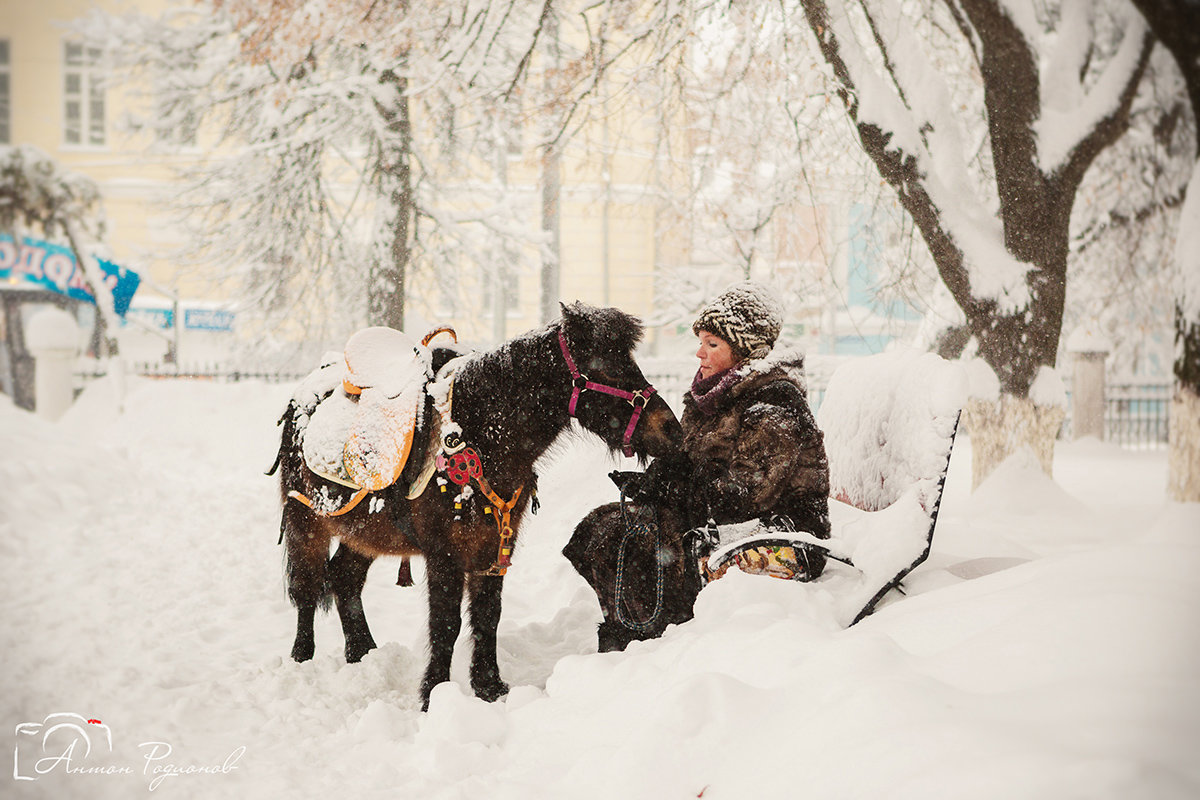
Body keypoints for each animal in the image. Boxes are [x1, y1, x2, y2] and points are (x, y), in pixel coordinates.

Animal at [274, 303, 681, 710]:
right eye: (606, 367)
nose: (671, 429)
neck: (479, 436)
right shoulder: (444, 554)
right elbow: (446, 624)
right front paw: (433, 694)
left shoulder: (495, 545)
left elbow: (488, 617)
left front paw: (489, 687)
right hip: (306, 522)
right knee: (307, 588)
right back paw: (301, 659)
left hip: (364, 532)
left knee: (345, 579)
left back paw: (363, 653)